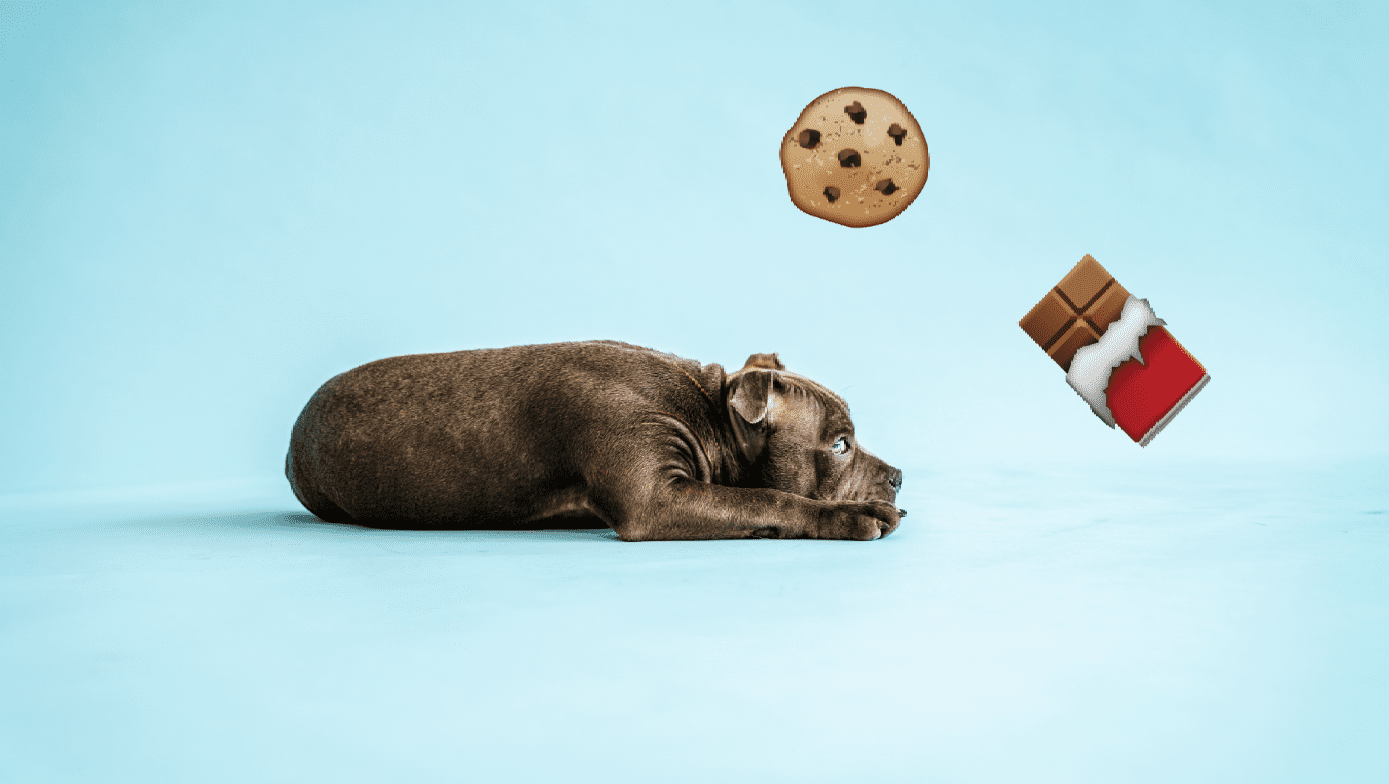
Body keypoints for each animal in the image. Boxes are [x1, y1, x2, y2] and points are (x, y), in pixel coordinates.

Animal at [287, 340, 905, 542]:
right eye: (841, 444)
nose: (898, 475)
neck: (708, 411)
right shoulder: (656, 499)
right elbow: (769, 498)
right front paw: (852, 517)